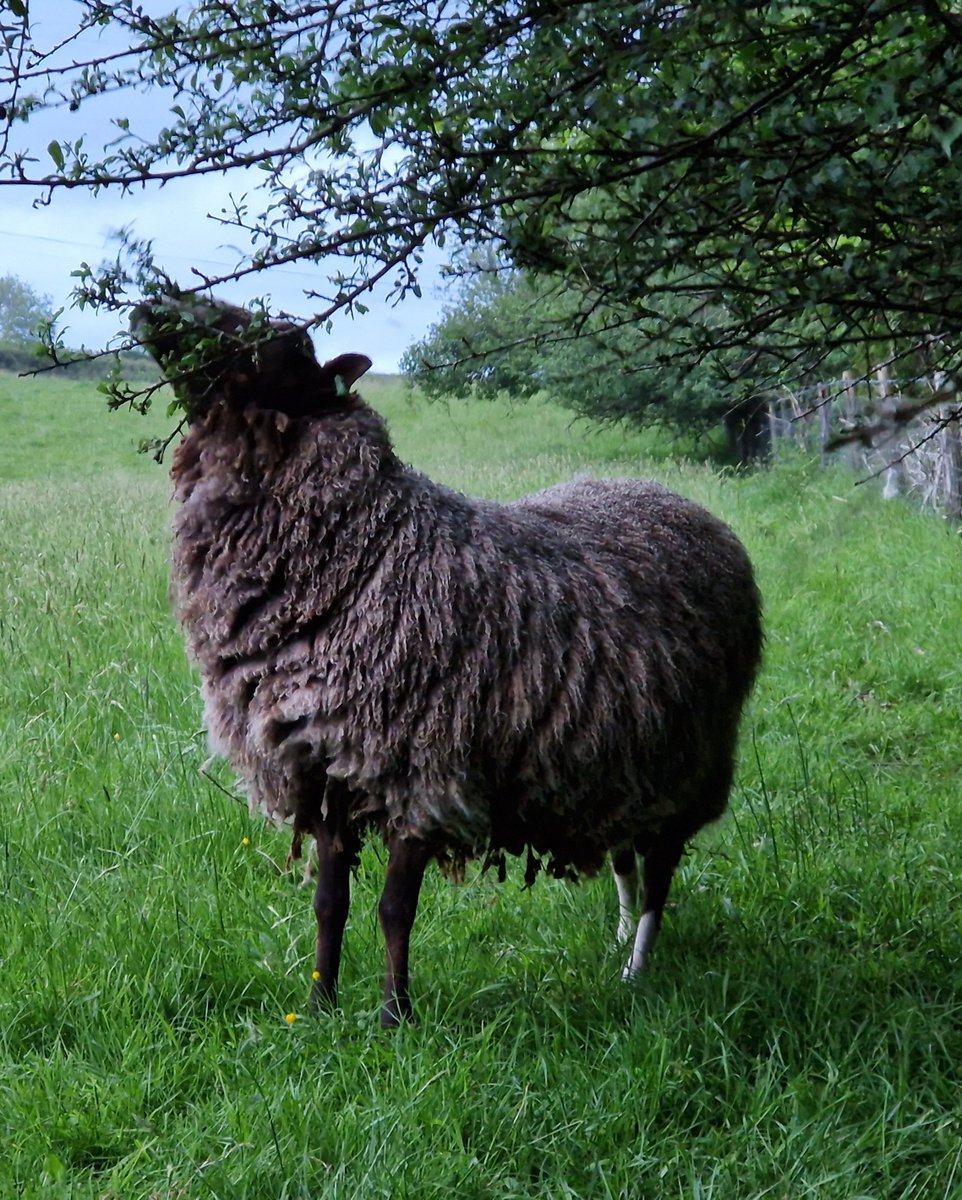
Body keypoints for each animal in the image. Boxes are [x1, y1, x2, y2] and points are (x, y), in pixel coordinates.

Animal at [134, 295, 762, 1027]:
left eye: (284, 343)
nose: (155, 303)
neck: (366, 547)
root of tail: (684, 504)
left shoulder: (420, 769)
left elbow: (393, 909)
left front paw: (393, 1018)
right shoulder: (327, 767)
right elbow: (329, 903)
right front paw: (319, 1007)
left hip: (694, 764)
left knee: (658, 870)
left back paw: (636, 970)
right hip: (626, 766)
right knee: (625, 858)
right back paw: (616, 939)